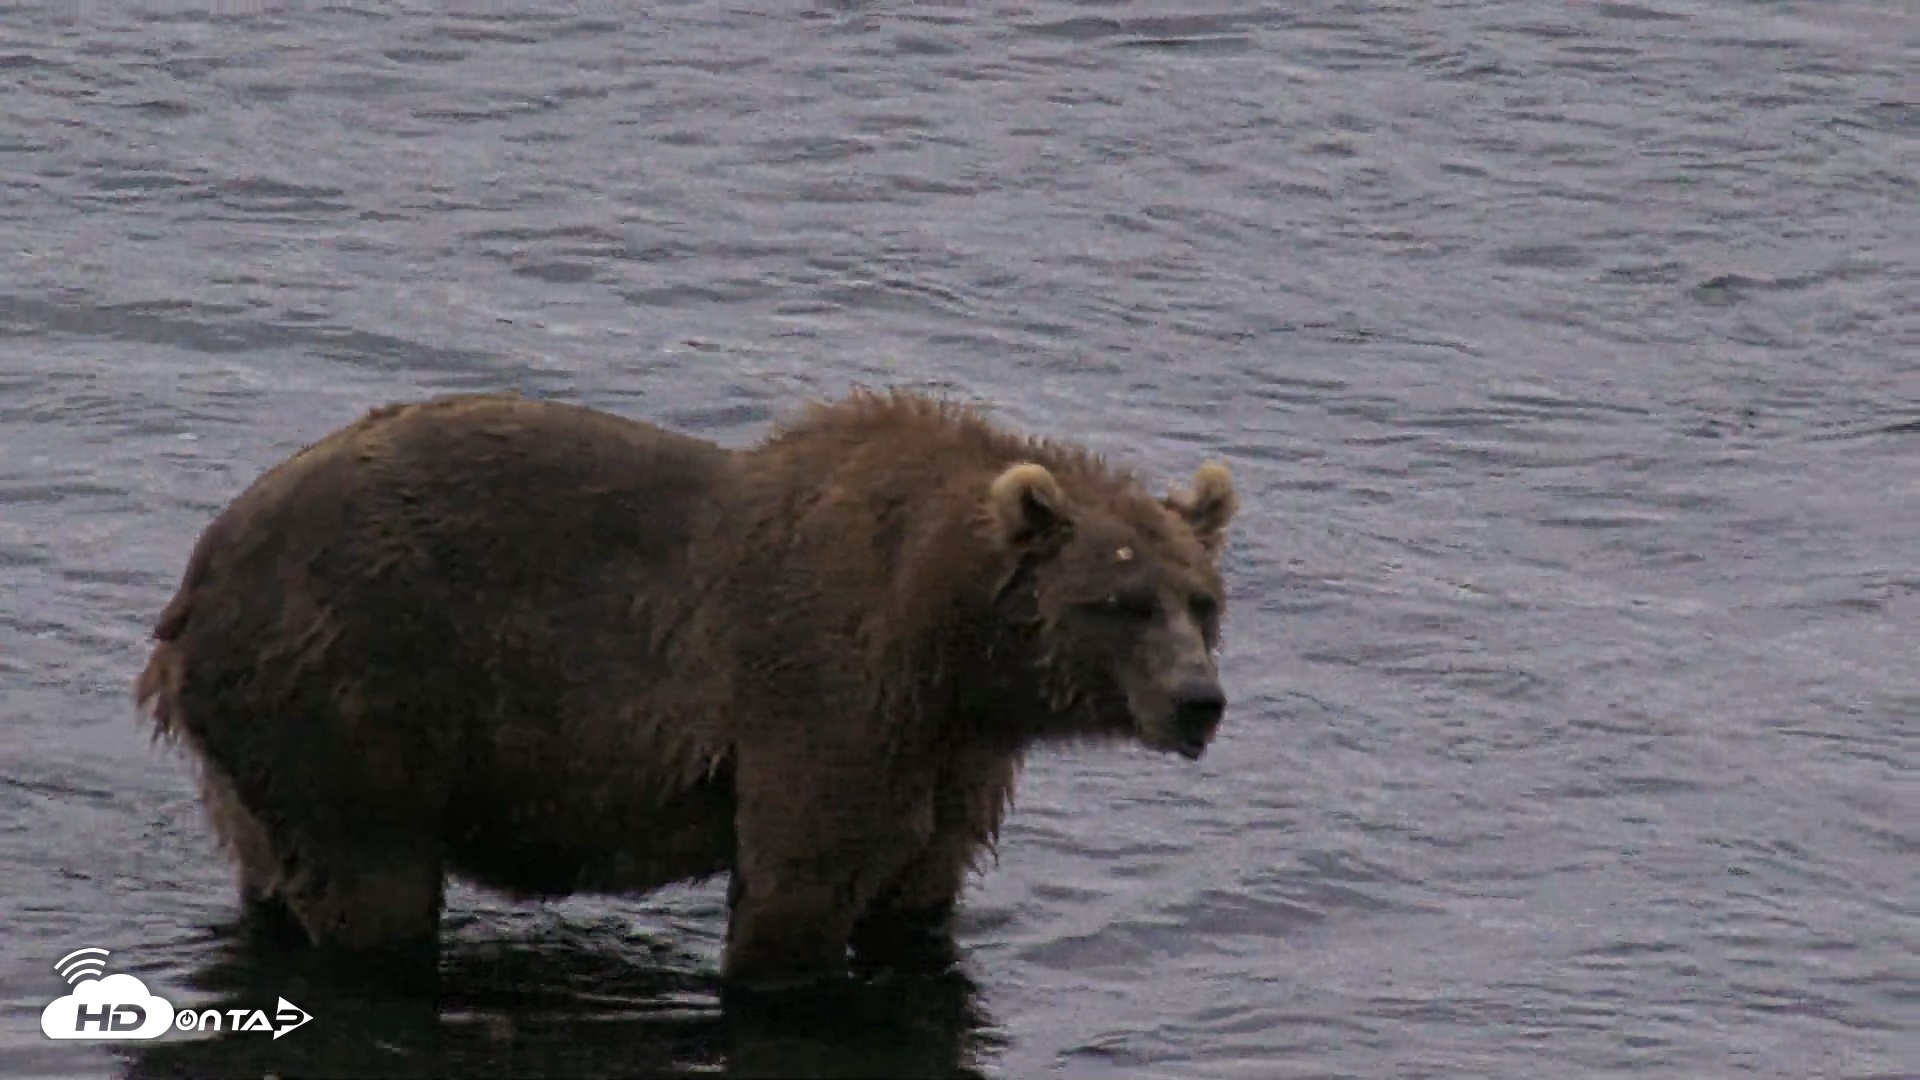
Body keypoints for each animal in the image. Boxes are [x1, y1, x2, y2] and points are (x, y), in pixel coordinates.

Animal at [135, 388, 1238, 989]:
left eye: (1202, 599)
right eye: (1122, 600)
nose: (1199, 700)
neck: (952, 640)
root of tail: (196, 579)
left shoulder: (957, 751)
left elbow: (920, 890)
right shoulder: (829, 688)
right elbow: (801, 882)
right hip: (354, 681)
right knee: (374, 886)